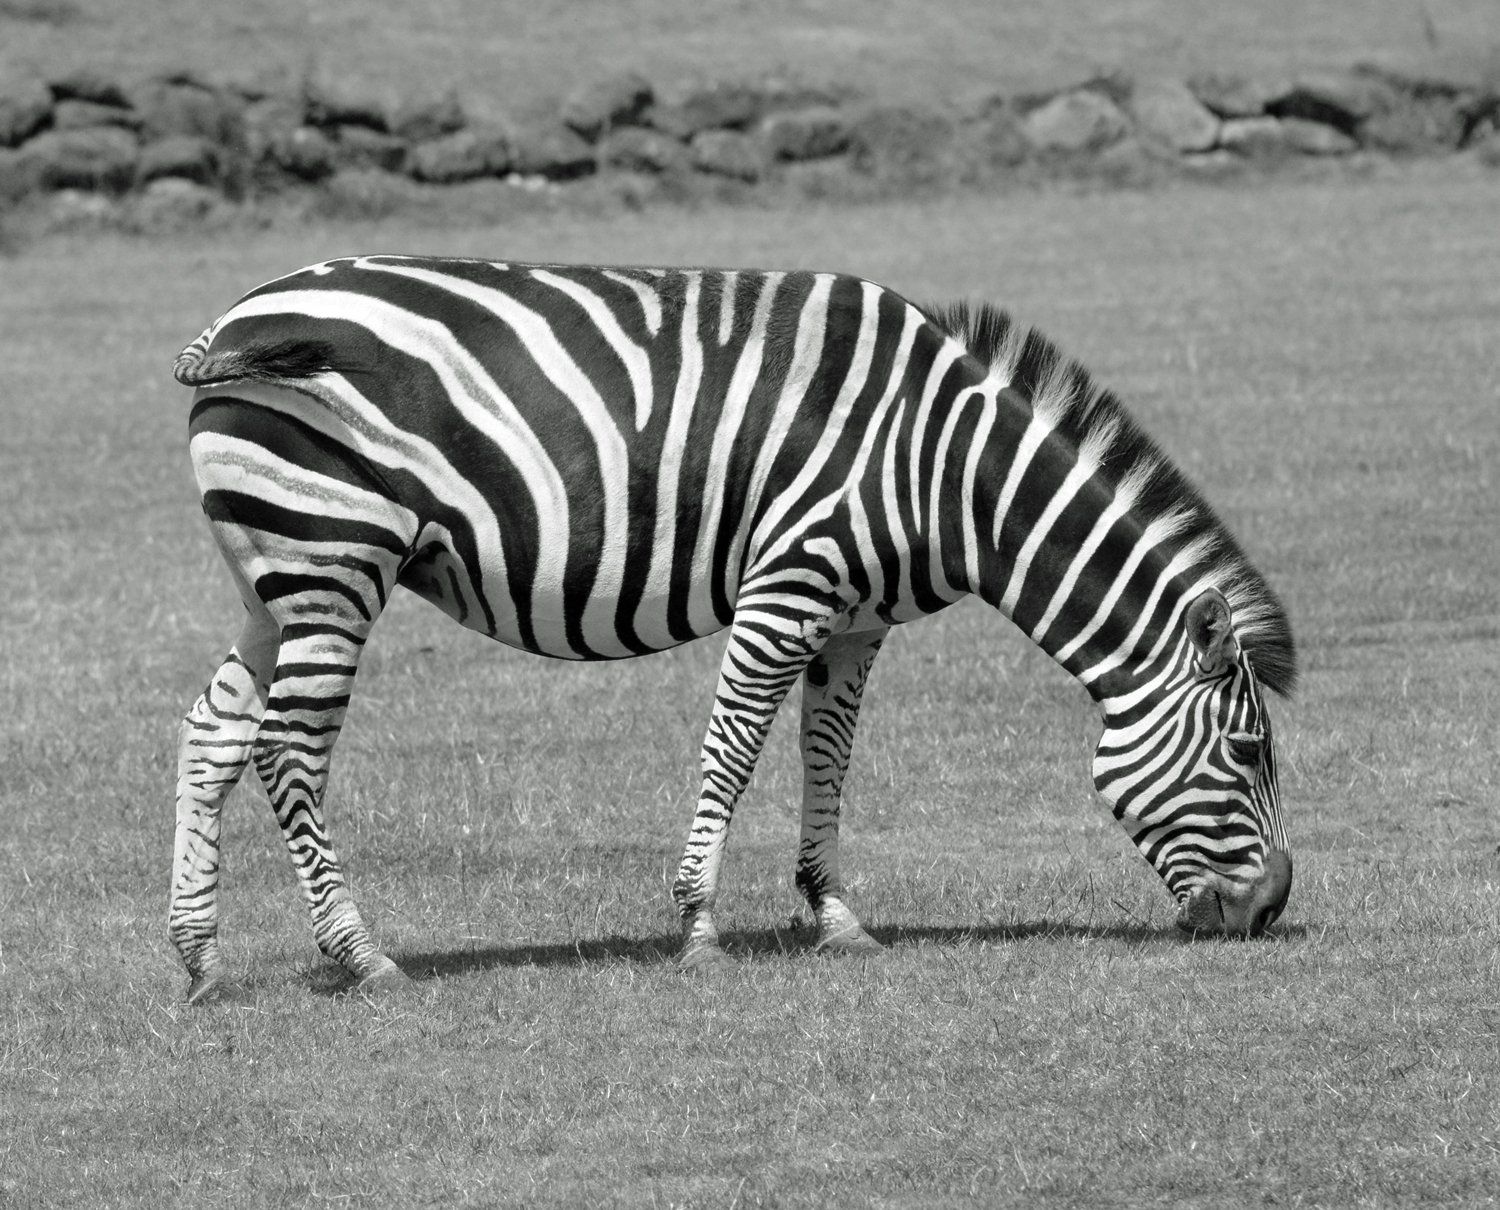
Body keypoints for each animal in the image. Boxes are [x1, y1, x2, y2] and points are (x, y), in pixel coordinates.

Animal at [170, 254, 1297, 1002]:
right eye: (1249, 751)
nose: (1271, 912)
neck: (942, 468)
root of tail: (239, 313)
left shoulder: (855, 622)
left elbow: (827, 757)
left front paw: (834, 914)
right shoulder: (790, 584)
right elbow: (735, 750)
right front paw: (701, 923)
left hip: (276, 573)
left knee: (213, 733)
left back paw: (199, 959)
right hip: (335, 557)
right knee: (289, 749)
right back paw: (360, 954)